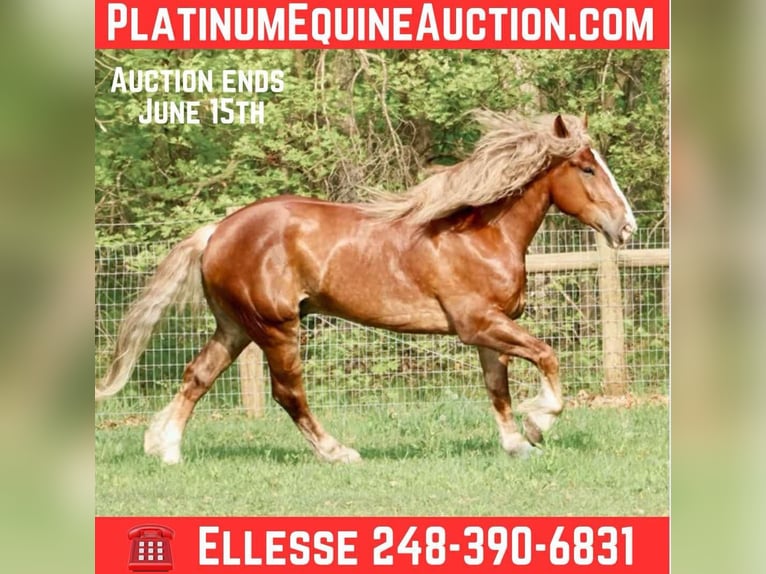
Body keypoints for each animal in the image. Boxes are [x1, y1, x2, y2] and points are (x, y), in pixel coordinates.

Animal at [96, 111, 636, 464]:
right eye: (587, 167)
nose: (627, 226)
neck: (479, 234)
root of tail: (217, 232)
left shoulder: (489, 328)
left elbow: (497, 387)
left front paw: (516, 443)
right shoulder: (477, 323)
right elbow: (547, 356)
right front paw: (539, 423)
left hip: (236, 326)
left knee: (197, 376)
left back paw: (165, 449)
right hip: (276, 327)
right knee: (287, 393)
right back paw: (338, 453)